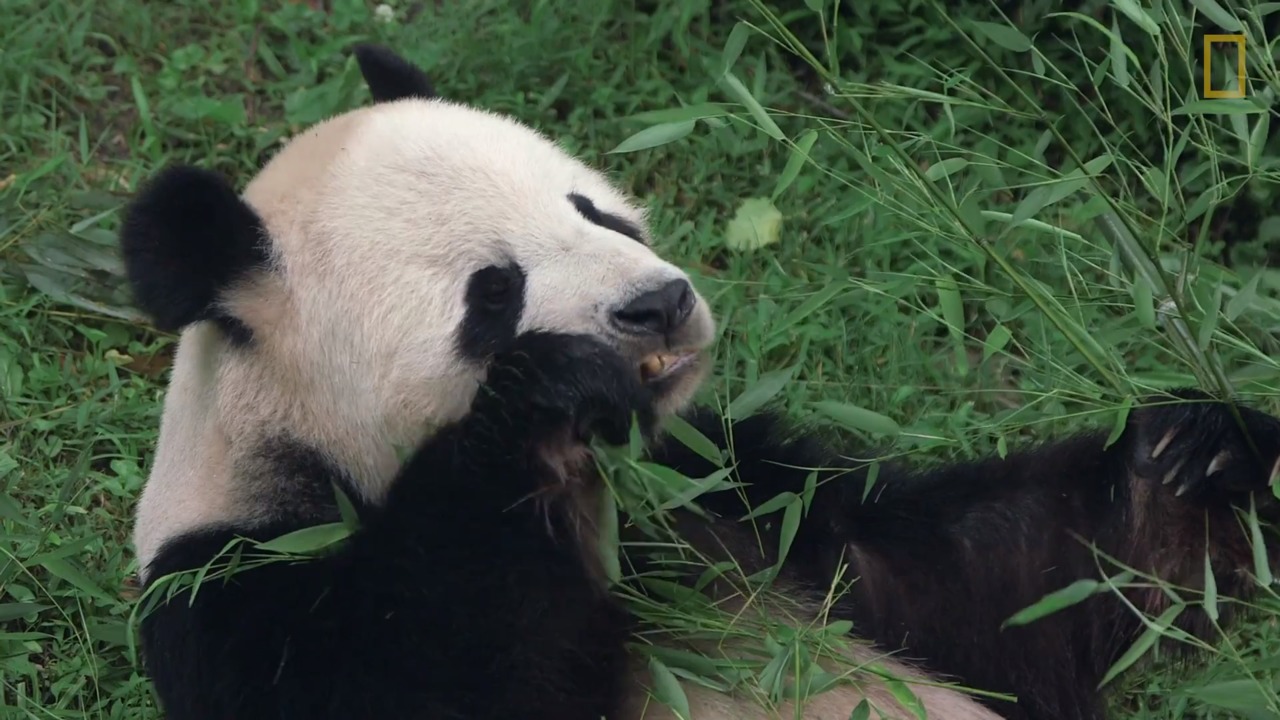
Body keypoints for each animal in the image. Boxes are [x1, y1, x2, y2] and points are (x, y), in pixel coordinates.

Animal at [119, 44, 1280, 720]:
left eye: (593, 209)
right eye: (492, 292)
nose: (659, 305)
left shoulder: (726, 496)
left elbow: (995, 585)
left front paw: (1192, 456)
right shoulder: (239, 590)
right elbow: (429, 675)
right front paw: (544, 398)